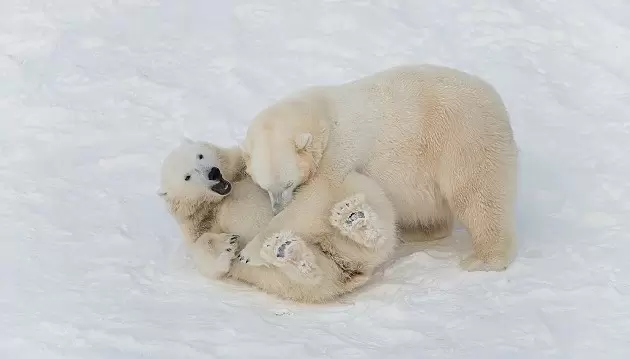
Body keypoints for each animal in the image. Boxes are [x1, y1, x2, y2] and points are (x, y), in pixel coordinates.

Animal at [158, 140, 400, 304]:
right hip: (291, 279)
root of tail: (352, 267)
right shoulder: (195, 223)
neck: (221, 198)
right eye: (187, 177)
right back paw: (287, 251)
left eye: (200, 156)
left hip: (357, 197)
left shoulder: (243, 170)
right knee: (311, 278)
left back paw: (355, 218)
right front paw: (227, 244)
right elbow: (207, 260)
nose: (213, 173)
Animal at [239, 65, 520, 272]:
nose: (277, 207)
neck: (321, 114)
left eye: (288, 183)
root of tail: (496, 102)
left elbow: (316, 200)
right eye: (265, 187)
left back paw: (485, 259)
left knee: (478, 196)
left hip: (464, 139)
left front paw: (249, 252)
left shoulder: (339, 150)